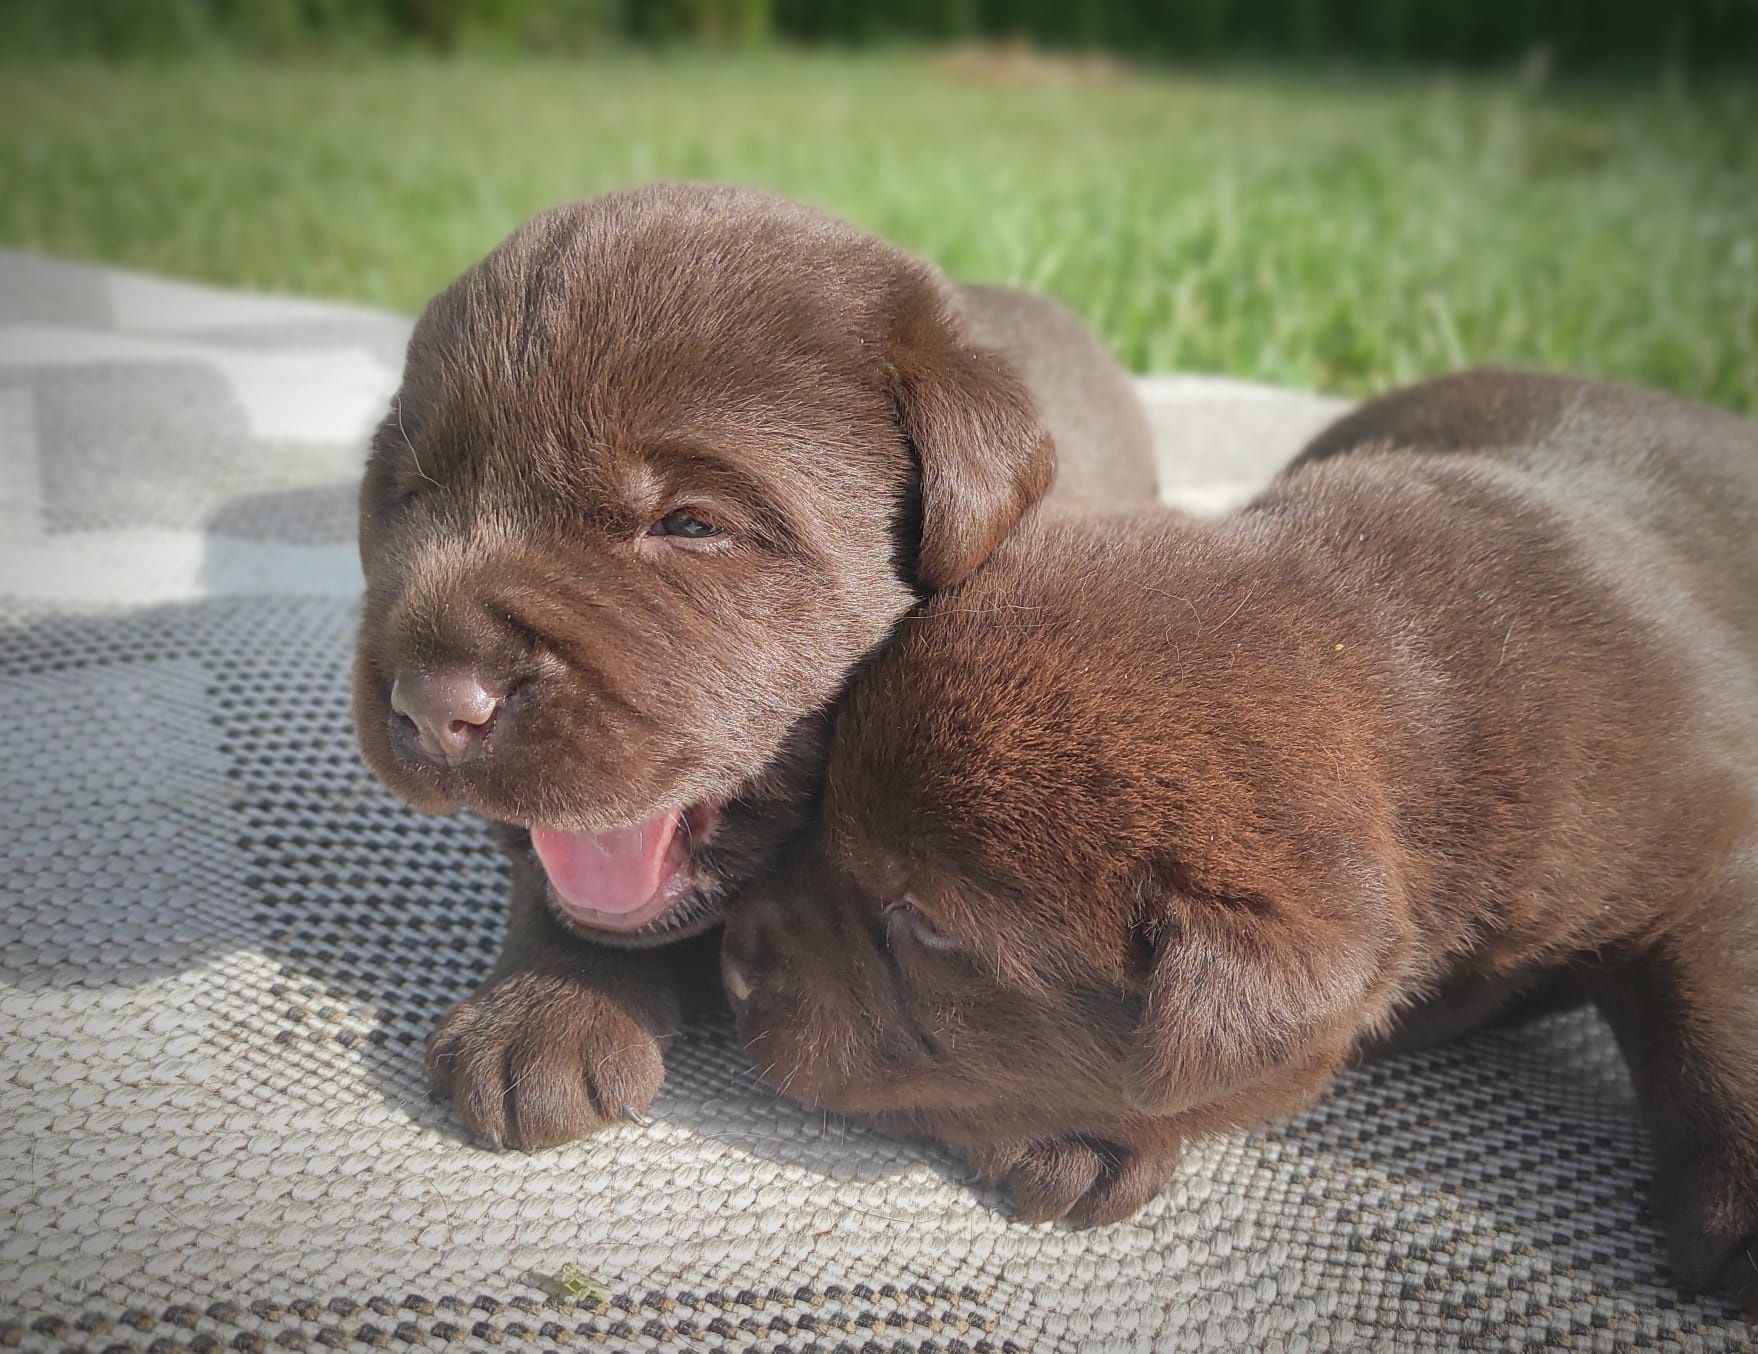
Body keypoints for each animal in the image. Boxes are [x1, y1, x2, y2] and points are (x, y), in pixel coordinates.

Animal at [720, 365, 1758, 1294]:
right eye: (826, 801)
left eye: (927, 928)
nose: (731, 958)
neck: (1408, 659)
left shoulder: (1699, 824)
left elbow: (1716, 984)